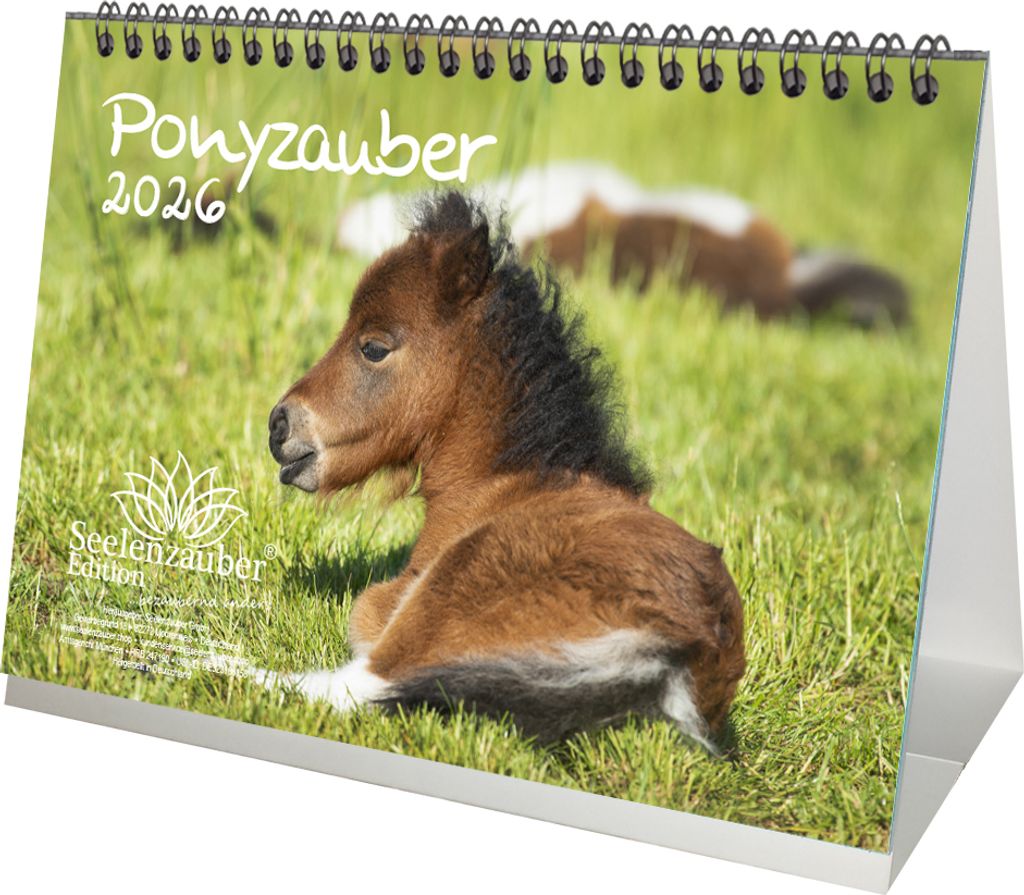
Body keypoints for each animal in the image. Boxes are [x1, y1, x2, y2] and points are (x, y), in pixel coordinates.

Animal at [264, 190, 745, 747]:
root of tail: (680, 653)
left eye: (374, 347)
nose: (279, 424)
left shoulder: (392, 606)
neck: (505, 485)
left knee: (344, 686)